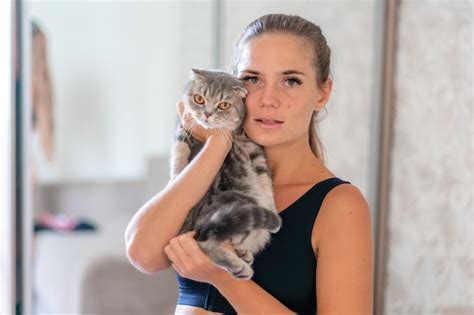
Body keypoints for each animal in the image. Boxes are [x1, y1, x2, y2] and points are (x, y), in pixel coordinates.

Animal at [170, 68, 282, 280]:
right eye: (199, 99)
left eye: (224, 105)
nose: (206, 114)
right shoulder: (183, 126)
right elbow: (179, 150)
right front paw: (177, 174)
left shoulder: (254, 149)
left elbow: (264, 178)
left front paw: (271, 204)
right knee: (203, 241)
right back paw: (238, 264)